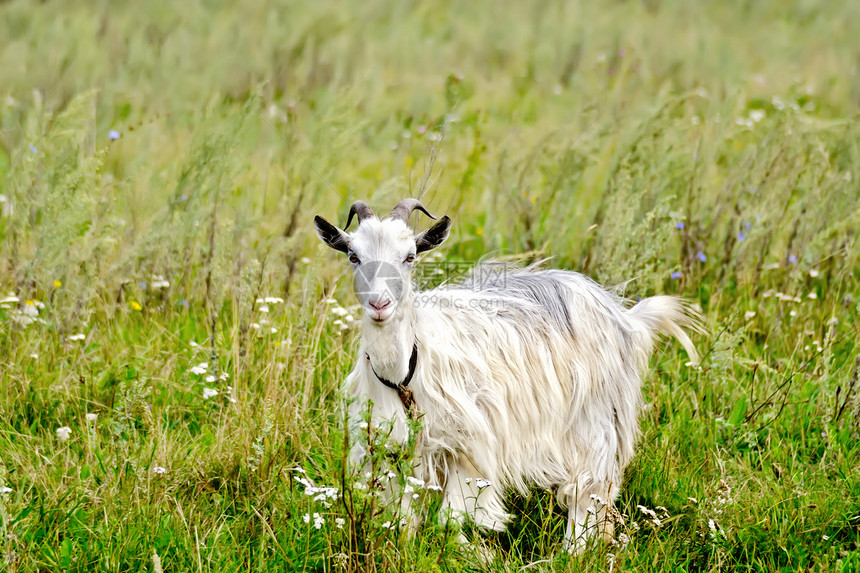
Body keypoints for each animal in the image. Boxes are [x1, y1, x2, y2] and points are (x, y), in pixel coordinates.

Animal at [312, 197, 704, 548]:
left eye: (409, 257)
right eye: (353, 256)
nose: (379, 305)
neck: (405, 371)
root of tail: (623, 315)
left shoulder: (470, 446)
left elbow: (450, 520)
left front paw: (473, 555)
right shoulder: (391, 452)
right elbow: (401, 520)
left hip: (595, 419)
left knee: (589, 491)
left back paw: (573, 551)